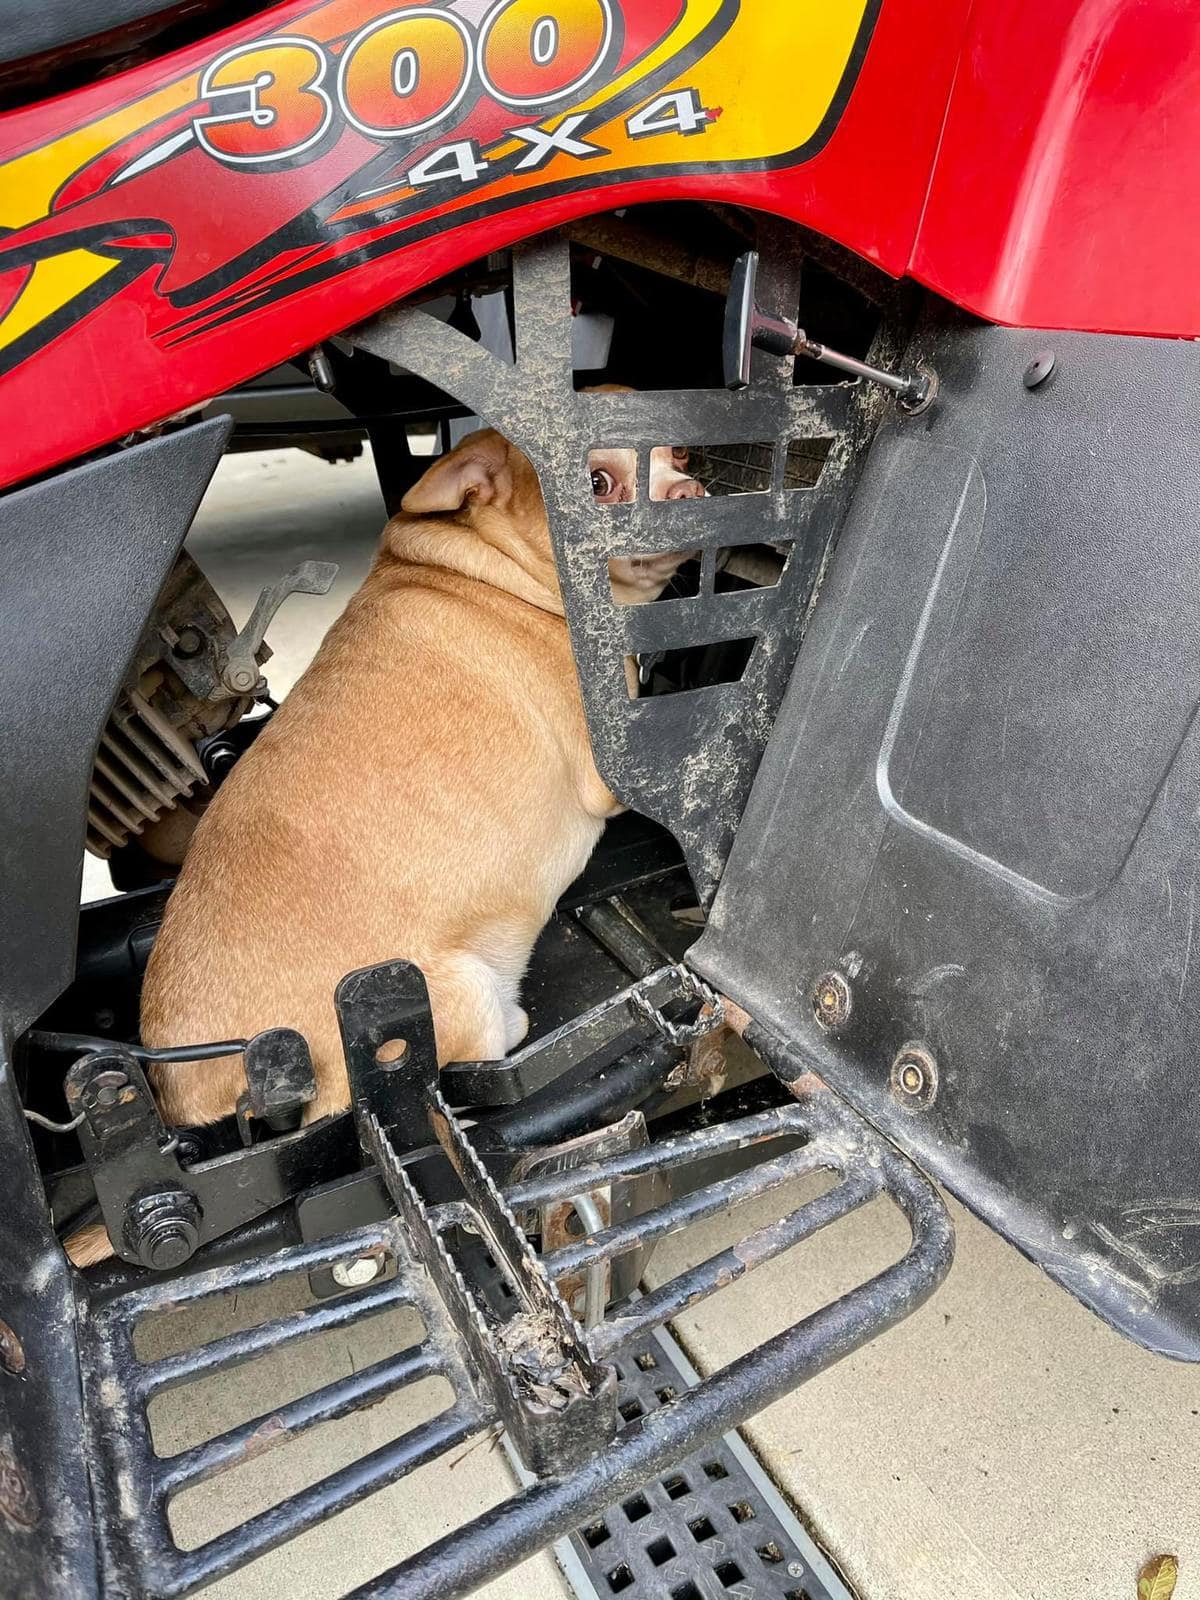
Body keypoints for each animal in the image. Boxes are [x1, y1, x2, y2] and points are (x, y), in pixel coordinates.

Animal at [65, 423, 702, 1266]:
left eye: (684, 453)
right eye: (596, 484)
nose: (693, 492)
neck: (485, 569)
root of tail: (189, 1099)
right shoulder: (612, 766)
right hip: (460, 995)